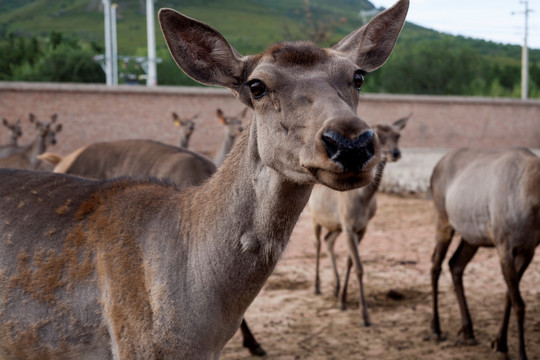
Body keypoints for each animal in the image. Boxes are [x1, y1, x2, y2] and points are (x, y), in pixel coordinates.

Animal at [308, 113, 410, 326]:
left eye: (398, 135)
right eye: (378, 134)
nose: (395, 153)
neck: (363, 201)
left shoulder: (361, 227)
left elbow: (350, 262)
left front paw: (343, 300)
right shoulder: (348, 225)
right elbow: (360, 267)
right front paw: (365, 316)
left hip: (335, 225)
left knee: (328, 241)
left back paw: (335, 287)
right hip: (314, 216)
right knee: (317, 244)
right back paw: (317, 286)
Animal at [430, 147, 540, 360]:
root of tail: (436, 167)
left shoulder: (528, 250)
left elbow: (509, 295)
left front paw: (500, 342)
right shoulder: (504, 245)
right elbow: (519, 304)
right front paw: (521, 353)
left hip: (472, 238)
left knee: (455, 264)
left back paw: (468, 332)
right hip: (443, 219)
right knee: (435, 266)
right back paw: (436, 329)